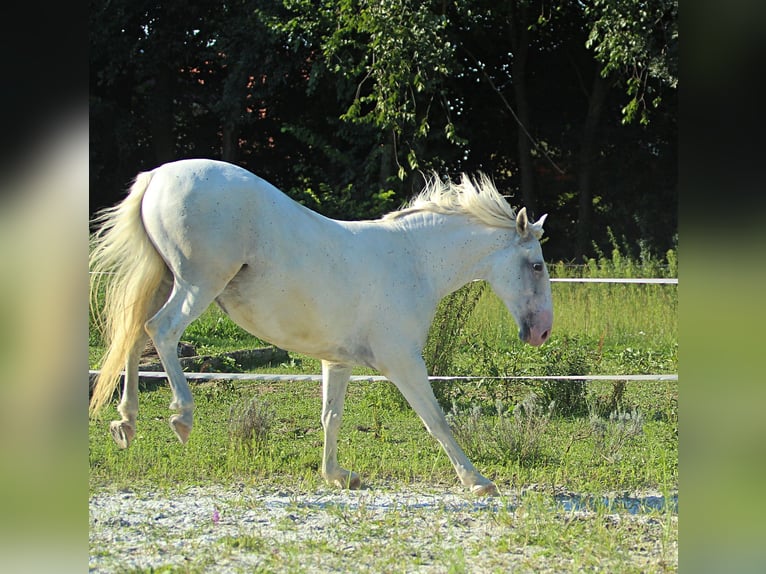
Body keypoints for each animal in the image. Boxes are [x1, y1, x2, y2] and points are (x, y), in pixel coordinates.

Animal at [90, 160, 552, 498]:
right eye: (536, 265)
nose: (542, 333)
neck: (413, 260)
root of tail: (156, 176)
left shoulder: (338, 361)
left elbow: (331, 416)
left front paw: (338, 476)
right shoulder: (402, 361)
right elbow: (436, 419)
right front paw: (478, 481)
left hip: (164, 280)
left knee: (134, 335)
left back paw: (125, 423)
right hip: (197, 283)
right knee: (161, 330)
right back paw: (181, 416)